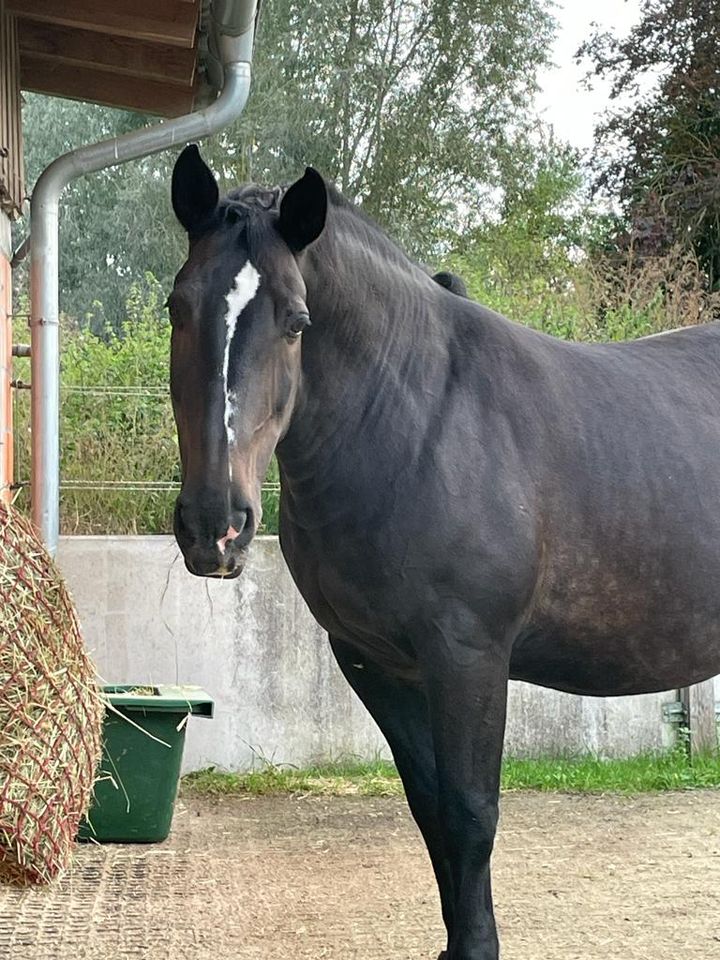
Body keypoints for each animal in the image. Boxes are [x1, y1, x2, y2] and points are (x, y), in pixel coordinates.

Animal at [167, 142, 720, 960]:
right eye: (179, 306)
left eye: (297, 321)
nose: (216, 525)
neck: (420, 422)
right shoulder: (375, 662)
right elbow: (430, 809)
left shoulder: (468, 656)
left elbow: (468, 812)